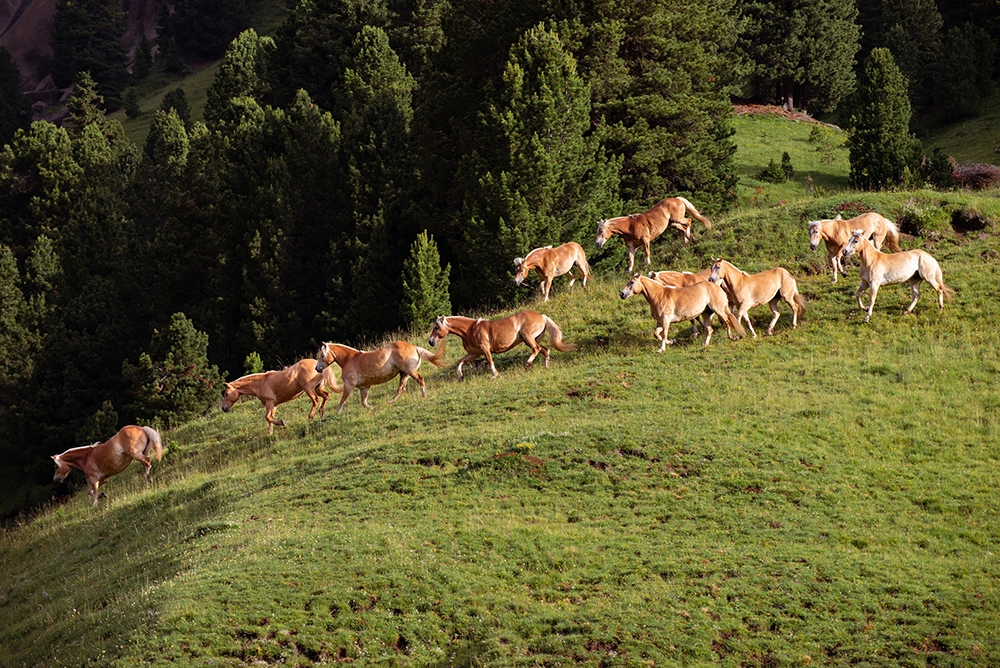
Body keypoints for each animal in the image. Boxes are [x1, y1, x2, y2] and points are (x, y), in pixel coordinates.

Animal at [314, 340, 448, 413]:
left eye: (322, 355)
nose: (317, 368)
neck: (350, 359)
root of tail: (415, 347)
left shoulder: (349, 385)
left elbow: (342, 400)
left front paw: (338, 413)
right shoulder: (364, 387)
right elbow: (364, 402)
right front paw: (372, 408)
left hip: (409, 371)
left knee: (420, 379)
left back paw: (424, 395)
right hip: (404, 374)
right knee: (401, 388)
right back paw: (390, 402)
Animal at [428, 311, 576, 379]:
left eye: (436, 327)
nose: (430, 341)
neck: (470, 330)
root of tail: (541, 316)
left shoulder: (484, 349)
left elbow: (490, 361)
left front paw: (494, 375)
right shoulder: (475, 353)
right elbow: (460, 361)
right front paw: (460, 376)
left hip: (528, 338)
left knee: (537, 349)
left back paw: (528, 364)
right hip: (534, 339)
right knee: (545, 350)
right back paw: (546, 367)